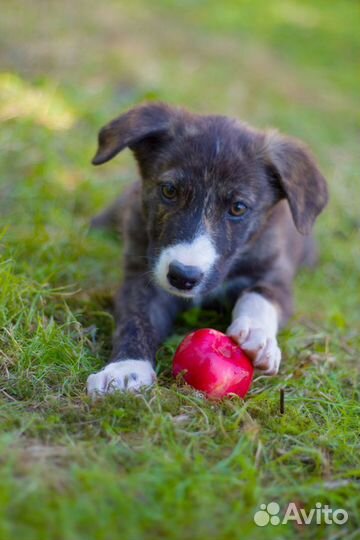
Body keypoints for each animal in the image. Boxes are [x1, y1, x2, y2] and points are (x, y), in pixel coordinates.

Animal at [87, 102, 330, 396]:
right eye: (169, 191)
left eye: (238, 208)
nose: (183, 277)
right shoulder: (142, 279)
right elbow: (135, 321)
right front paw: (125, 370)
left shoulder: (276, 274)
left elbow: (260, 296)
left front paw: (258, 335)